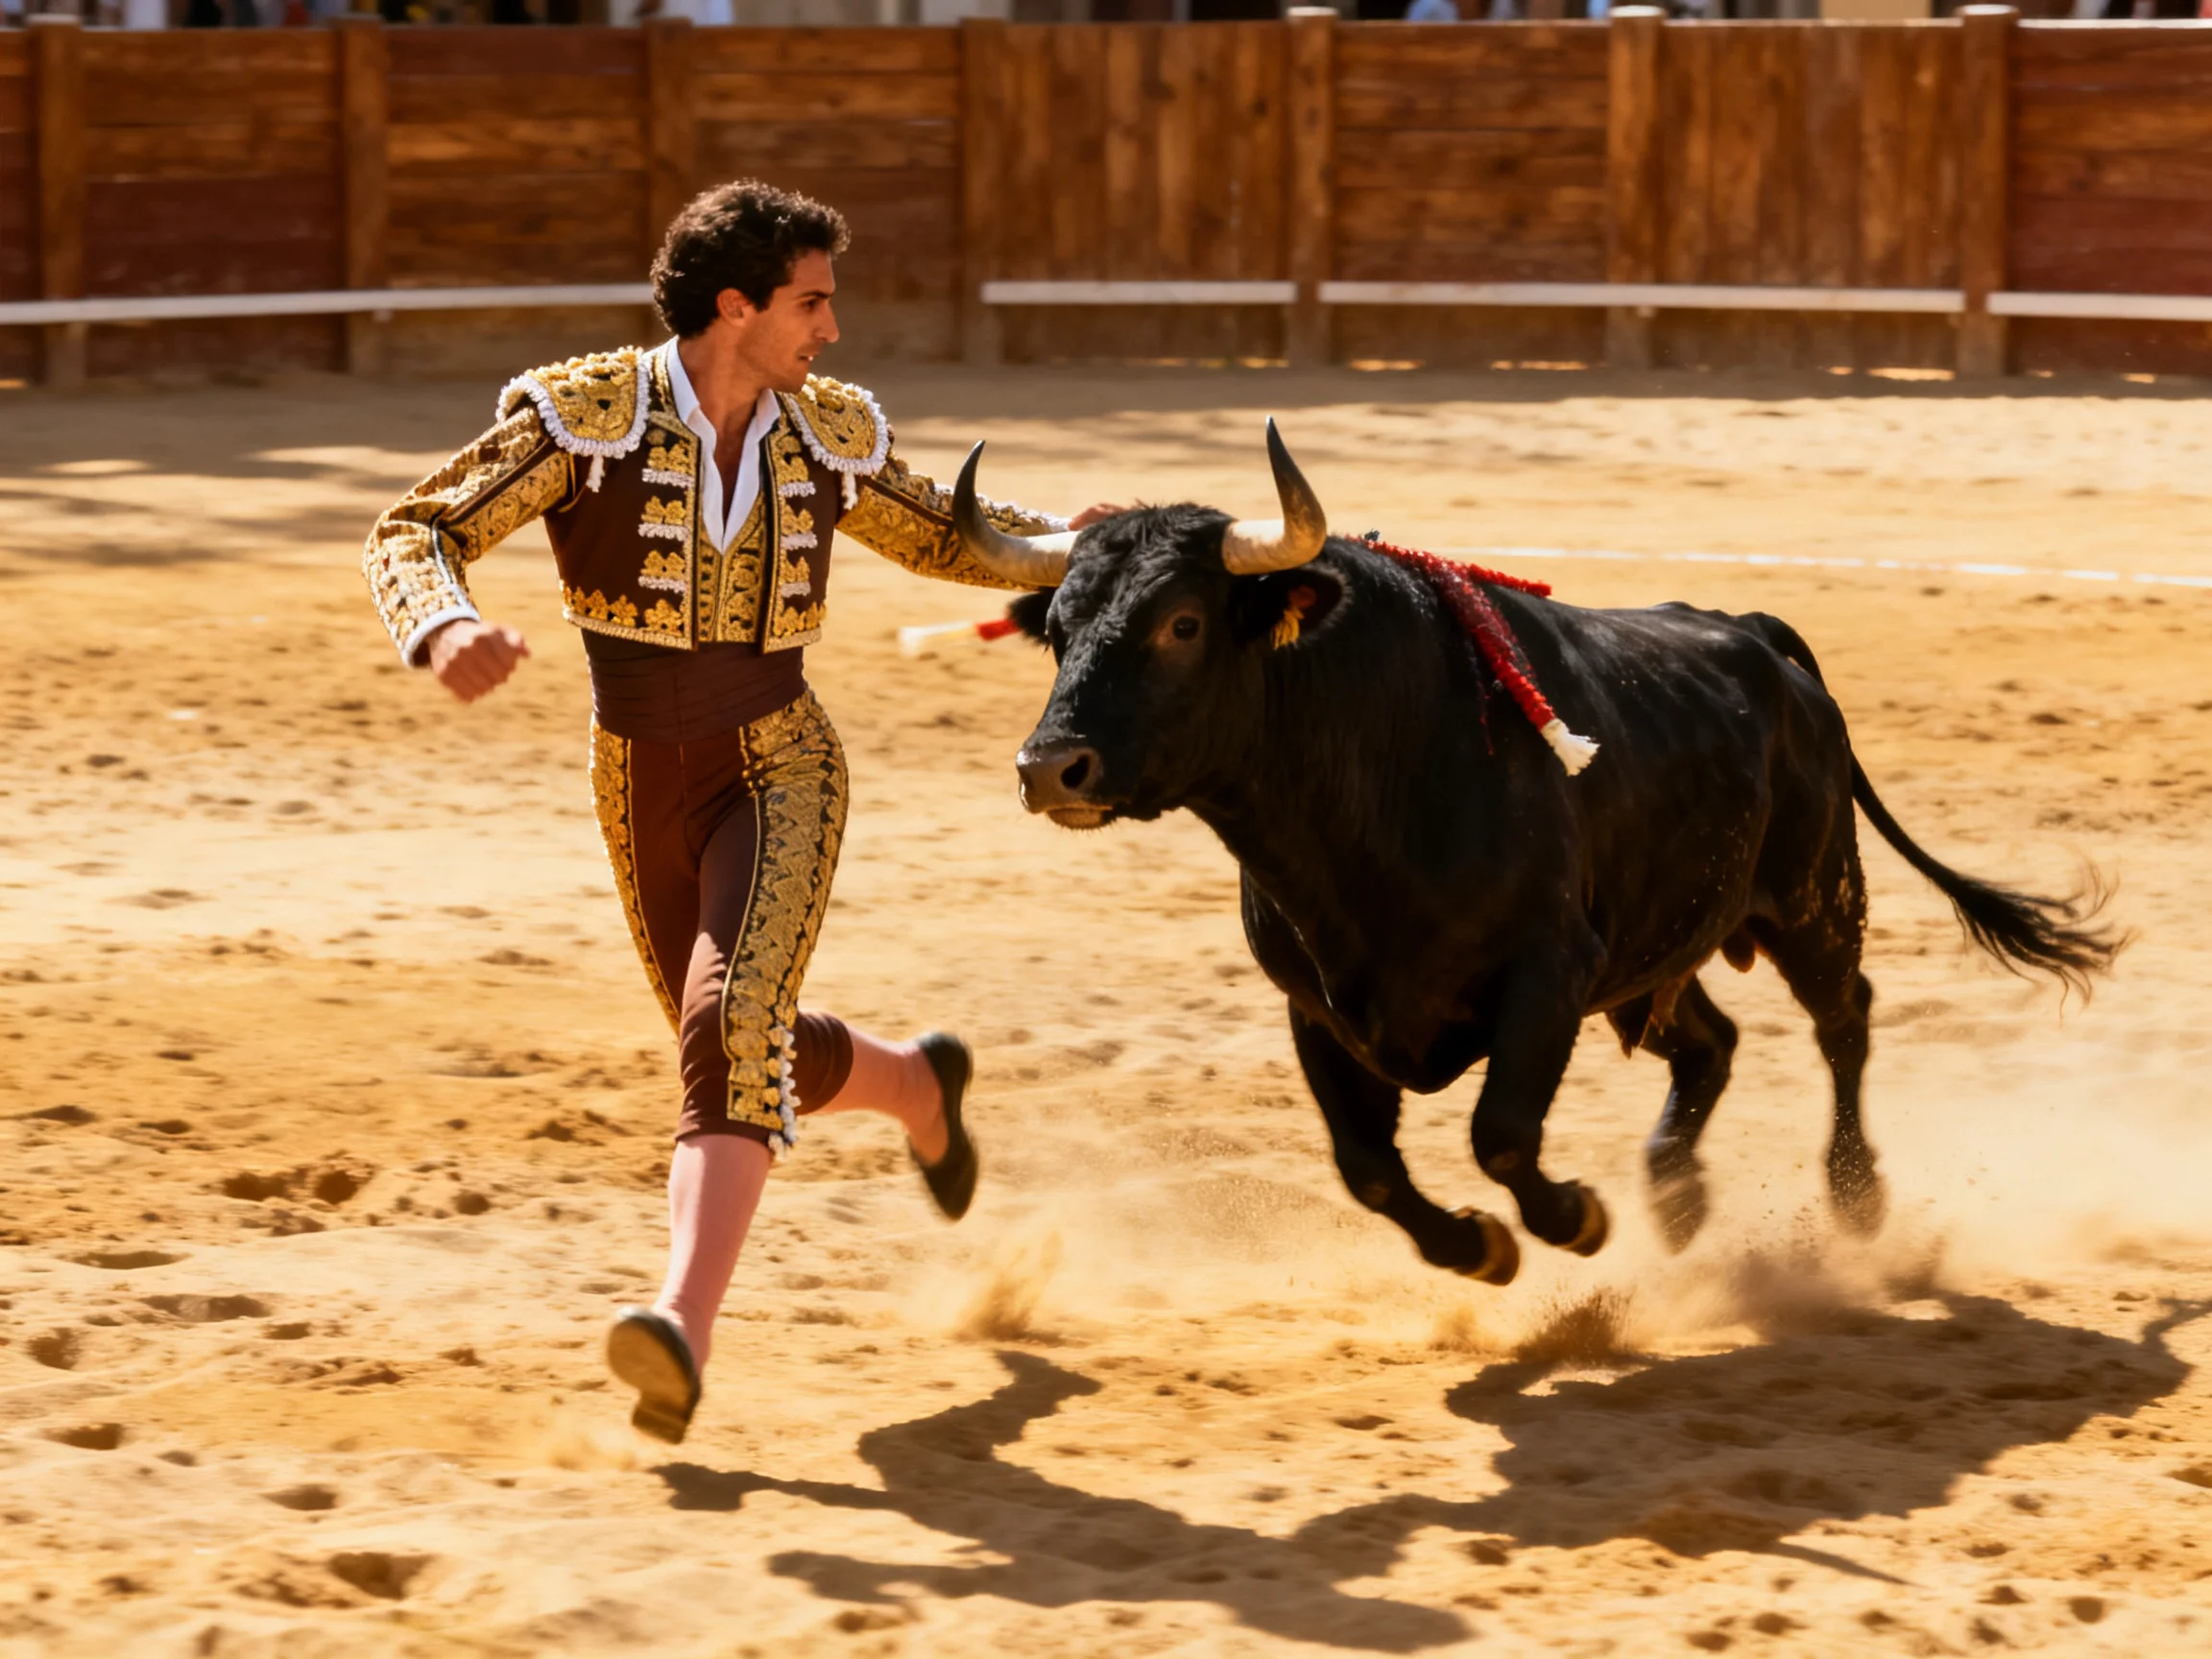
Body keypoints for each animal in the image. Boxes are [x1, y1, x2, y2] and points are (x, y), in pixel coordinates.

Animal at [949, 422, 2122, 1286]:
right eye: (1059, 628)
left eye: (1183, 623)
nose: (1050, 767)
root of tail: (1754, 632)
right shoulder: (1320, 1009)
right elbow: (1367, 1168)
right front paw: (1479, 1247)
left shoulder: (1545, 974)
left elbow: (1503, 1132)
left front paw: (1574, 1218)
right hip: (1650, 954)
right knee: (1712, 1044)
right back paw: (1678, 1200)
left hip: (1814, 897)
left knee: (1845, 1020)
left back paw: (1855, 1197)